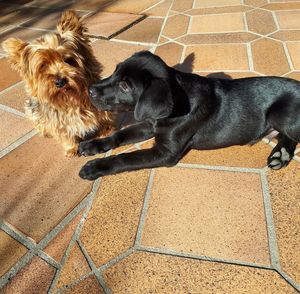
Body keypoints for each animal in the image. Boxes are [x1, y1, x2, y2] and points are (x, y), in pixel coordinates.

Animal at [1, 10, 113, 156]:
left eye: (69, 60)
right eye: (42, 66)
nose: (60, 81)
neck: (71, 99)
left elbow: (104, 115)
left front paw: (107, 129)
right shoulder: (58, 123)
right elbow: (65, 133)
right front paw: (71, 148)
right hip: (32, 111)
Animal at [79, 51, 300, 179]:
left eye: (124, 86)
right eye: (115, 71)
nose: (90, 90)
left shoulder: (166, 152)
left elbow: (127, 157)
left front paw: (95, 167)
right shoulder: (149, 123)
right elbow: (120, 135)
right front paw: (92, 145)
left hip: (280, 115)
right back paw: (280, 156)